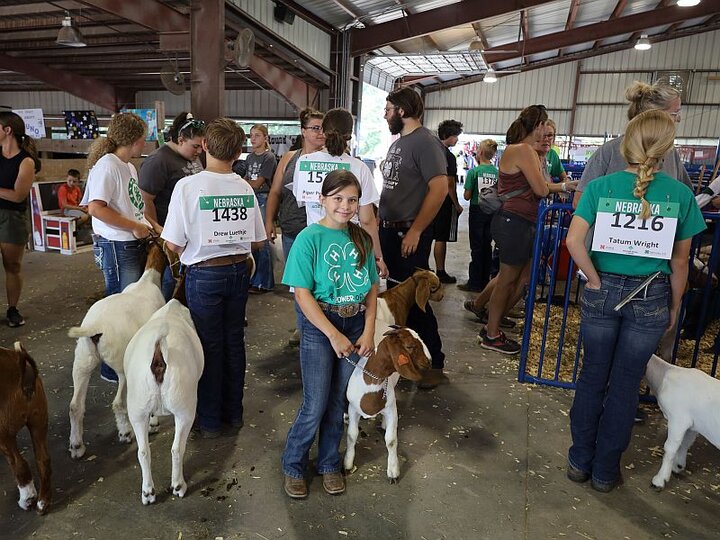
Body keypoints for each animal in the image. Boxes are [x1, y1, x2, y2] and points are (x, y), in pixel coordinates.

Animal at [0, 344, 51, 512]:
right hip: (38, 422)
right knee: (43, 460)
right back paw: (43, 502)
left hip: (5, 435)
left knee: (19, 464)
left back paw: (27, 499)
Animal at [68, 243, 167, 458]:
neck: (147, 280)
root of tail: (94, 327)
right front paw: (153, 422)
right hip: (122, 366)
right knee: (118, 403)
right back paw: (125, 432)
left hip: (82, 361)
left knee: (75, 406)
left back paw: (77, 446)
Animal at [346, 322, 430, 484]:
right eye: (410, 346)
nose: (429, 362)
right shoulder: (353, 408)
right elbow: (352, 435)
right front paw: (347, 464)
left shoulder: (391, 409)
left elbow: (391, 440)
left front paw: (393, 472)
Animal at [644, 354, 720, 490]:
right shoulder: (692, 425)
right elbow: (685, 444)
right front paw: (678, 466)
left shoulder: (678, 419)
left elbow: (670, 448)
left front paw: (659, 480)